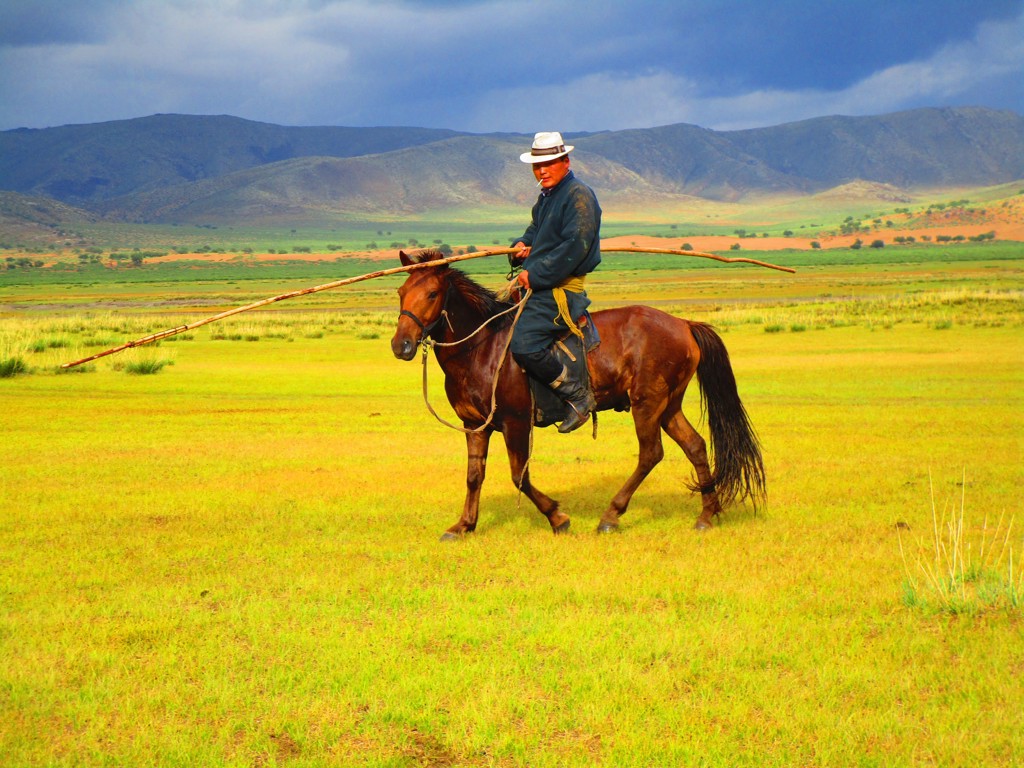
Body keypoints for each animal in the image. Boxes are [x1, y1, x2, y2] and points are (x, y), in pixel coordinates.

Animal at [390, 249, 765, 539]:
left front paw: (558, 517)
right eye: (401, 291)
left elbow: (519, 476)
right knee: (696, 446)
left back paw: (611, 516)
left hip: (647, 403)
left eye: (432, 294)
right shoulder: (474, 425)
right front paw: (463, 526)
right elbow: (474, 476)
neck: (483, 347)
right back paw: (706, 516)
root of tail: (685, 324)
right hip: (668, 405)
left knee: (651, 454)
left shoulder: (515, 422)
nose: (401, 345)